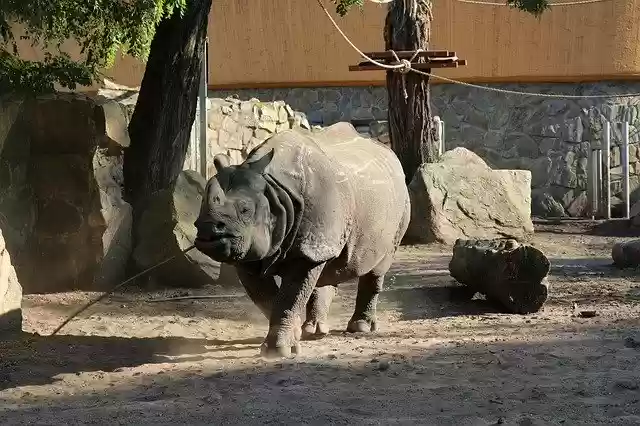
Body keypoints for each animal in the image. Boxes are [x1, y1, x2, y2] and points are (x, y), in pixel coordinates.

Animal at [194, 122, 410, 358]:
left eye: (245, 210)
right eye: (202, 205)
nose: (207, 228)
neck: (274, 191)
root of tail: (389, 153)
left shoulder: (299, 247)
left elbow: (291, 294)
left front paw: (279, 350)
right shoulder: (249, 252)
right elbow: (267, 296)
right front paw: (293, 334)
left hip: (398, 203)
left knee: (378, 265)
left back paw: (360, 328)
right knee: (326, 265)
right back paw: (314, 331)